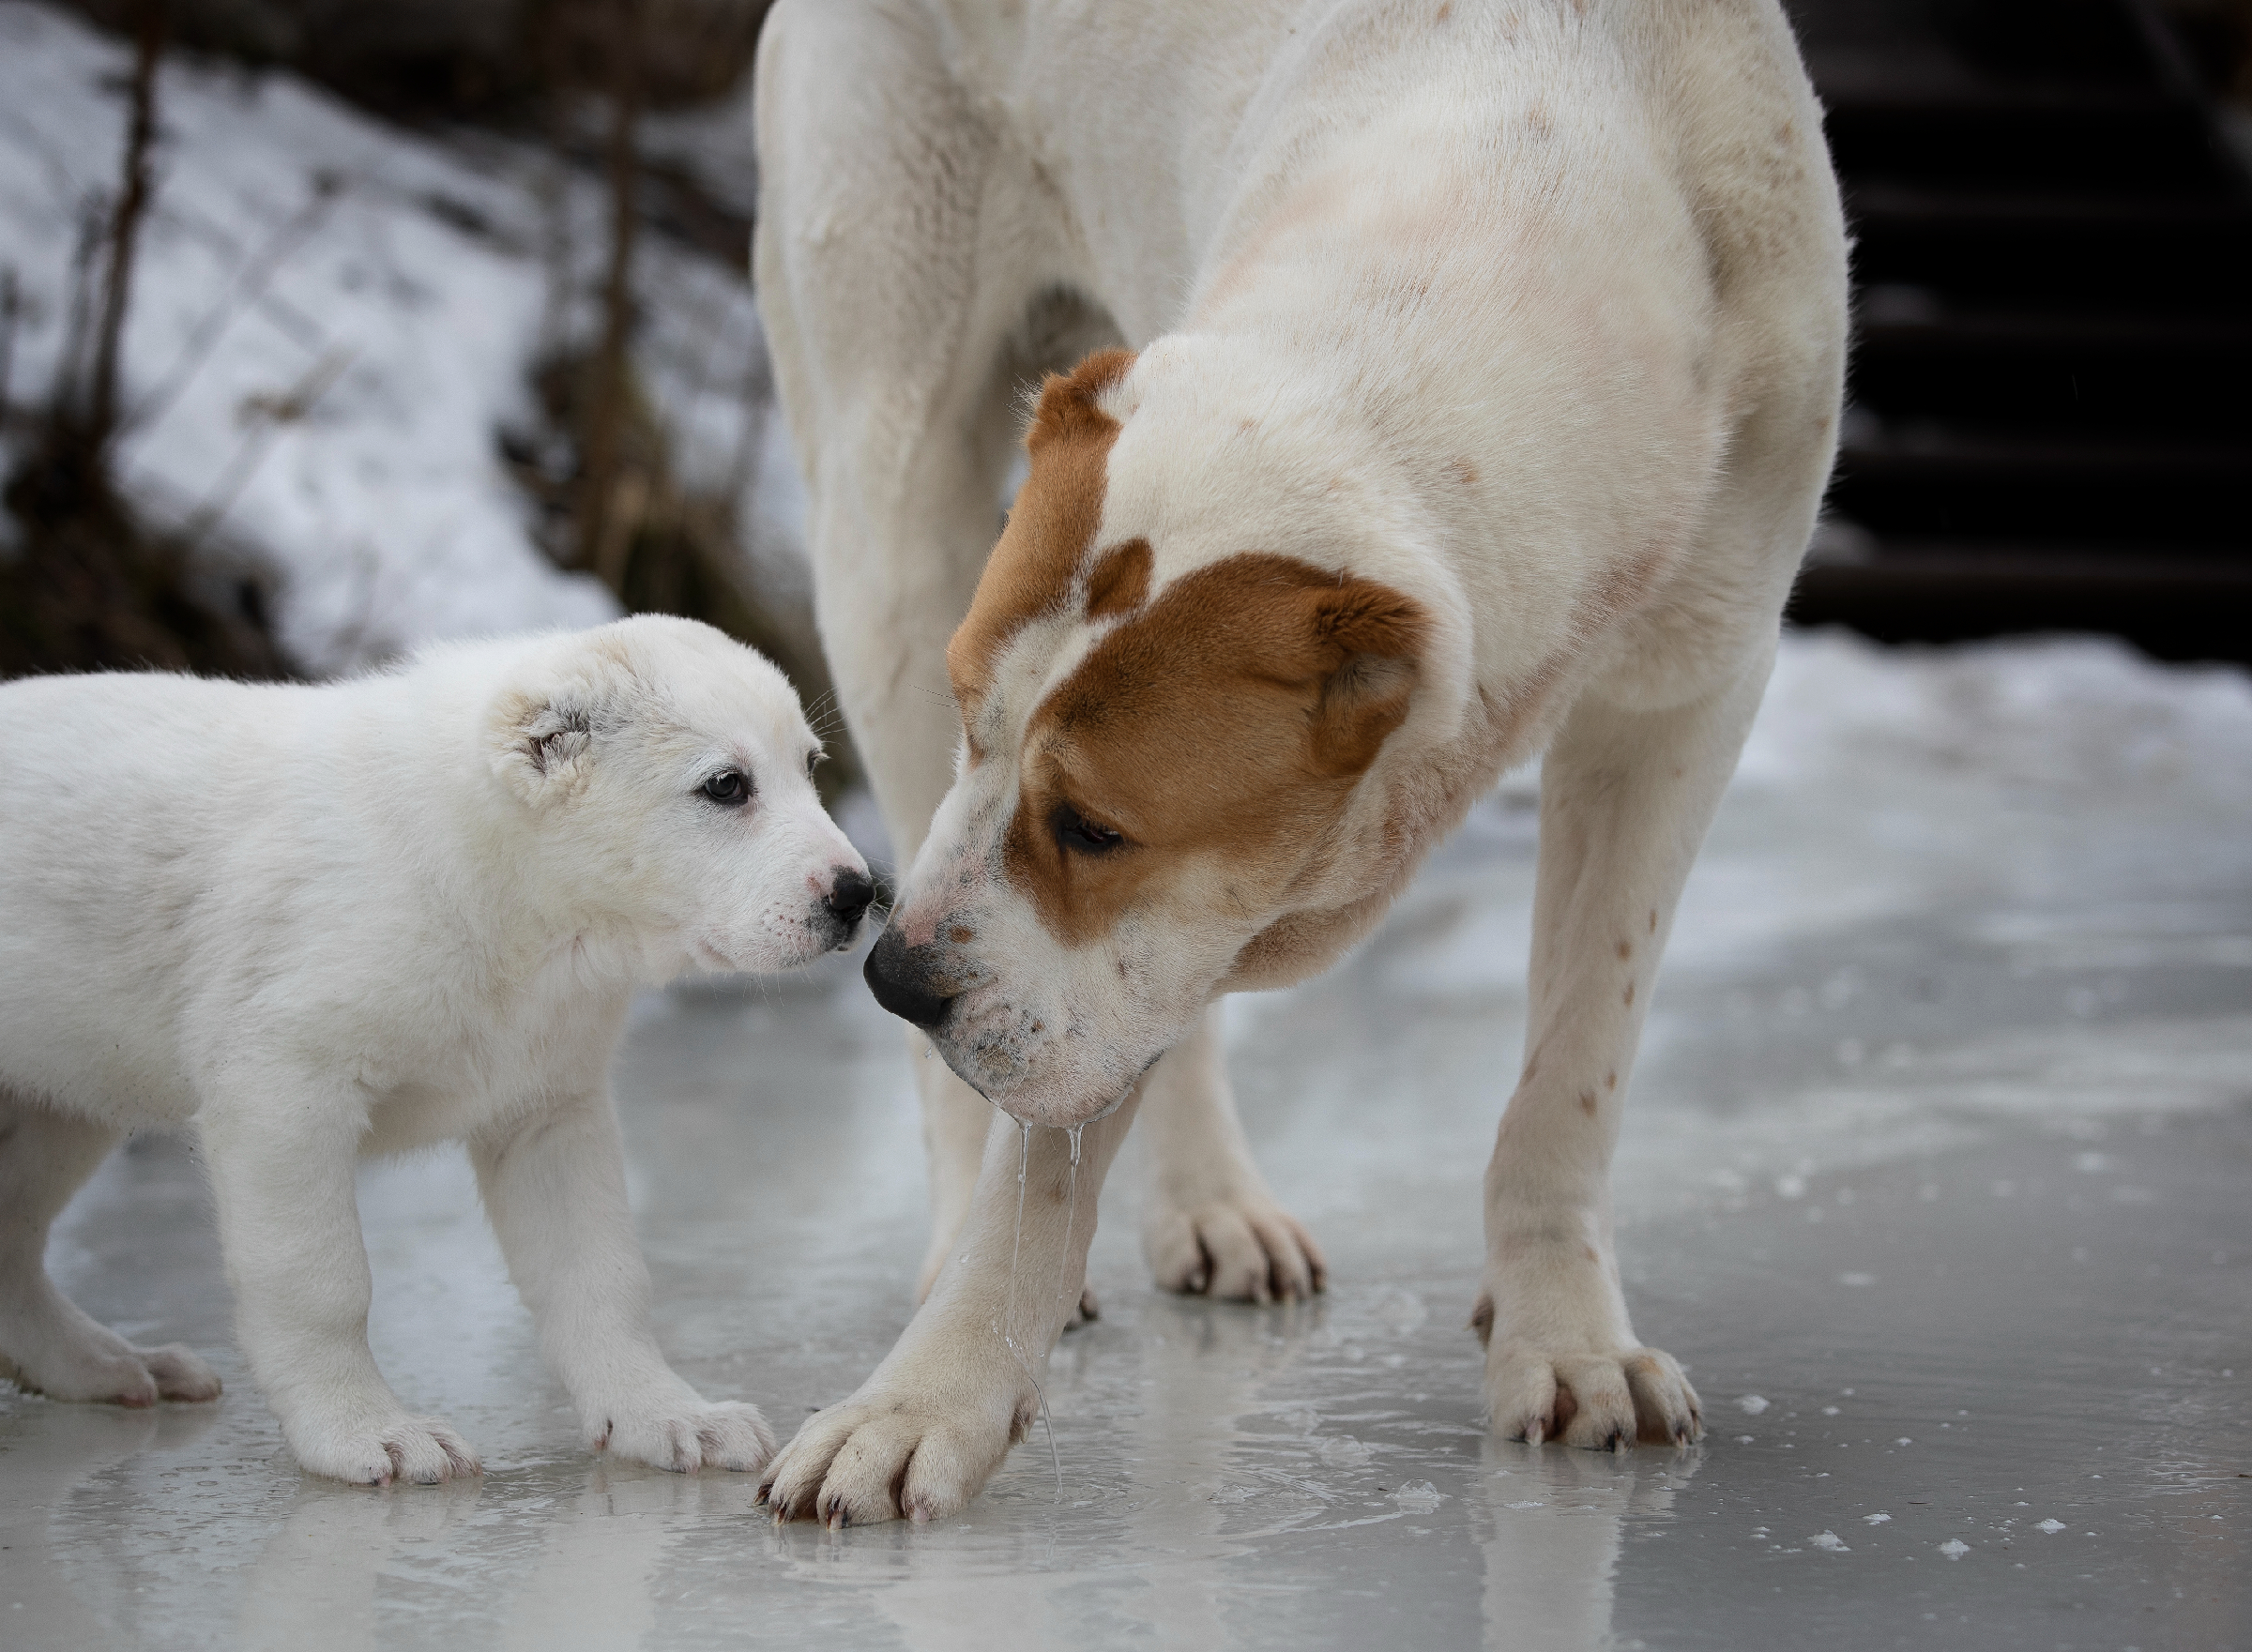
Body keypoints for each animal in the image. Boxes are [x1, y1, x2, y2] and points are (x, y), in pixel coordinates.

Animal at [0, 616, 869, 1485]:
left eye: (810, 767)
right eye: (725, 785)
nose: (859, 893)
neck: (501, 888)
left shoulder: (549, 1106)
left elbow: (602, 1274)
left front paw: (663, 1414)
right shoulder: (283, 1090)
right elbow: (320, 1281)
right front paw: (361, 1431)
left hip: (60, 1098)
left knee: (15, 1235)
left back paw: (107, 1365)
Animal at [747, 0, 1837, 1530]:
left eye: (1094, 829)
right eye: (978, 723)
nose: (897, 977)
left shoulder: (1692, 690)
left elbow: (1576, 1061)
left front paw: (1565, 1333)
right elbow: (1042, 1163)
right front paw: (924, 1400)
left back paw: (1210, 1204)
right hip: (887, 503)